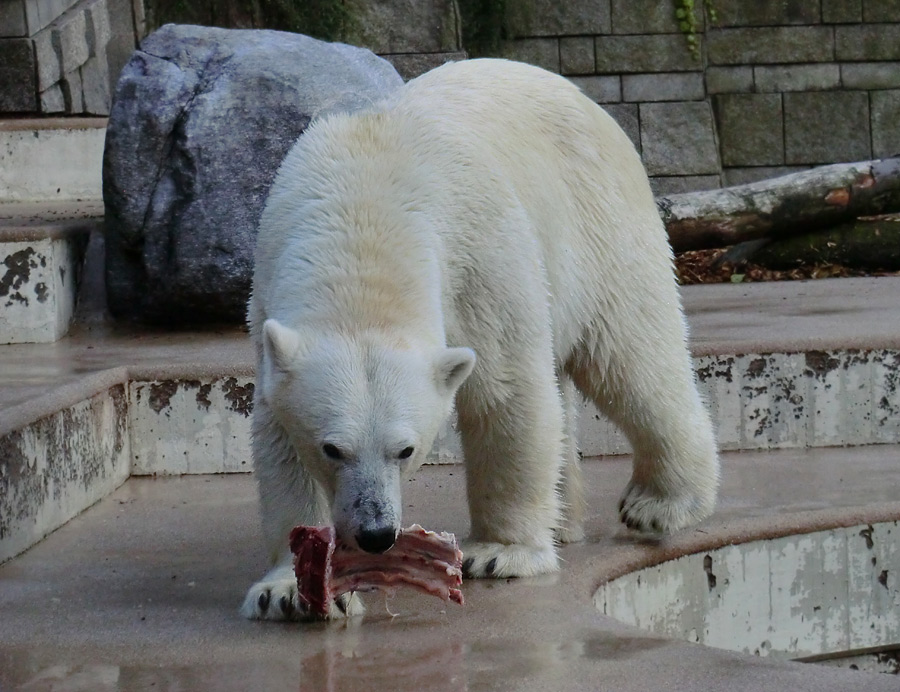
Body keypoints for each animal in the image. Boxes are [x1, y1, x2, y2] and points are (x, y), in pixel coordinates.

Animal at [239, 59, 716, 620]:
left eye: (406, 449)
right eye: (332, 449)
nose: (377, 533)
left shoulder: (476, 259)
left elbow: (506, 389)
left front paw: (499, 552)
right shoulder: (269, 292)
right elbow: (279, 438)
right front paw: (289, 589)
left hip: (598, 222)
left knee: (631, 355)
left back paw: (661, 503)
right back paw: (563, 519)